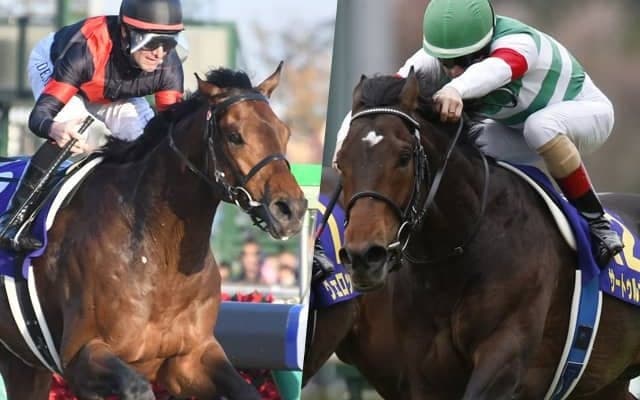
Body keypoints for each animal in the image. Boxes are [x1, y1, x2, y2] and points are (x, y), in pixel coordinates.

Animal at [0, 63, 307, 400]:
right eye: (234, 136)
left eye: (284, 132)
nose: (290, 209)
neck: (160, 257)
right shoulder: (80, 358)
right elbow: (137, 388)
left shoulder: (189, 359)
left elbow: (245, 390)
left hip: (24, 363)